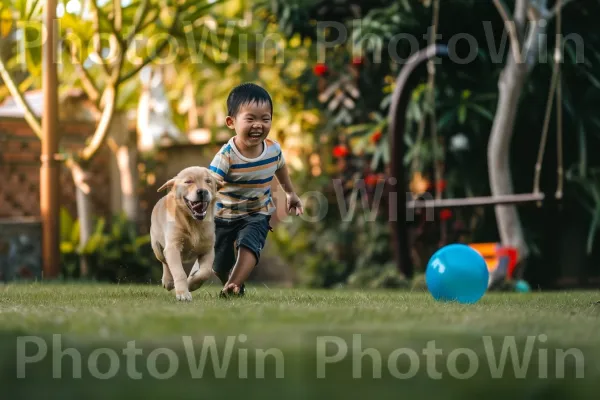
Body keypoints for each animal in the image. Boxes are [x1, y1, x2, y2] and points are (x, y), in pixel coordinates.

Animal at [151, 166, 224, 300]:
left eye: (208, 181)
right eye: (188, 181)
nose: (202, 192)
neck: (194, 222)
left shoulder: (208, 250)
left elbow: (205, 272)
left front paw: (191, 284)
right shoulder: (173, 246)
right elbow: (179, 272)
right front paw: (183, 294)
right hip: (157, 246)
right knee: (164, 261)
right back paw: (168, 281)